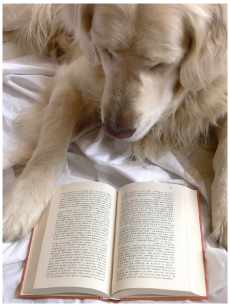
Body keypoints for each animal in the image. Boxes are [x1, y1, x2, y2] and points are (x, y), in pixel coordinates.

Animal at [1, 2, 228, 249]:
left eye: (160, 64)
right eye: (106, 51)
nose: (115, 131)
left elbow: (224, 152)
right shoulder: (73, 79)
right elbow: (50, 145)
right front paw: (21, 202)